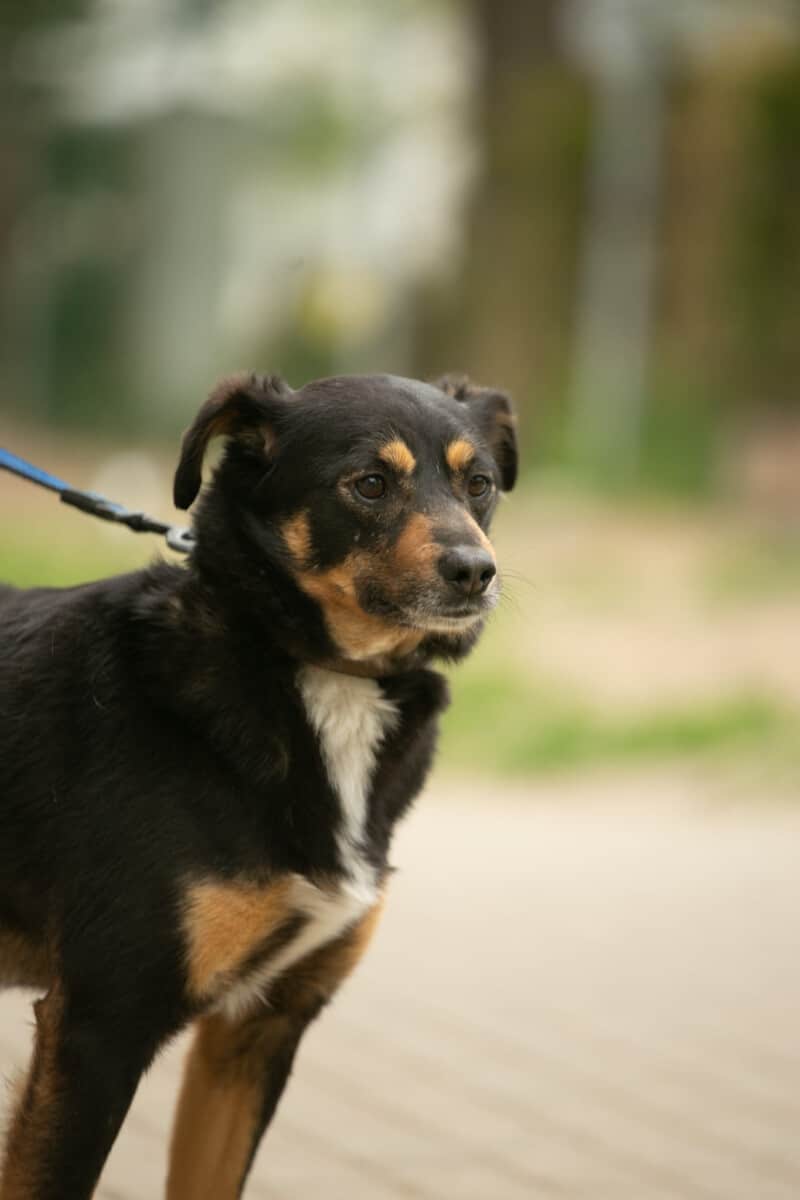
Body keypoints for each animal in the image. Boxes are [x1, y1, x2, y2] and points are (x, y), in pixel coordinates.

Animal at [0, 371, 517, 1199]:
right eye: (369, 484)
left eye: (481, 485)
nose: (475, 571)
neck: (321, 678)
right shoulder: (100, 1025)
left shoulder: (259, 1030)